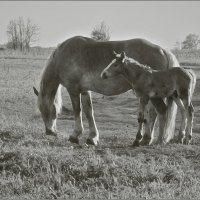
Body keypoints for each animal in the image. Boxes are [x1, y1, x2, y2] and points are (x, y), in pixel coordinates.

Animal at [33, 35, 180, 145]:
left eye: (45, 110)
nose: (49, 132)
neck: (62, 56)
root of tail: (163, 50)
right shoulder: (84, 90)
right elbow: (89, 112)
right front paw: (92, 137)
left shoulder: (73, 89)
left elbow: (77, 111)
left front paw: (75, 135)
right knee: (155, 112)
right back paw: (146, 139)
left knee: (156, 112)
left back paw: (147, 139)